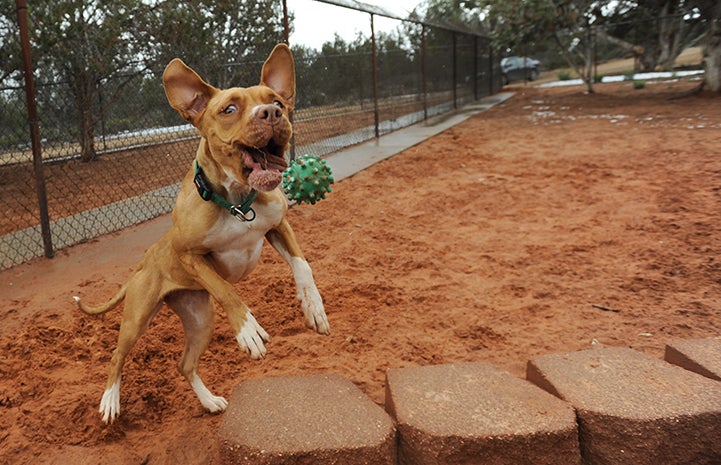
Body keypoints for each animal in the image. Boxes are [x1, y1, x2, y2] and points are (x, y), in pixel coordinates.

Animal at [74, 44, 330, 424]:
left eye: (277, 102)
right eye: (229, 109)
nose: (271, 113)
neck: (237, 200)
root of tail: (142, 264)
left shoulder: (277, 226)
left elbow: (303, 265)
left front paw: (313, 306)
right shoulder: (189, 255)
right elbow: (226, 289)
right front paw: (247, 328)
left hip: (199, 319)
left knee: (184, 365)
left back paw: (209, 401)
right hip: (137, 319)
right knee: (117, 356)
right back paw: (110, 401)